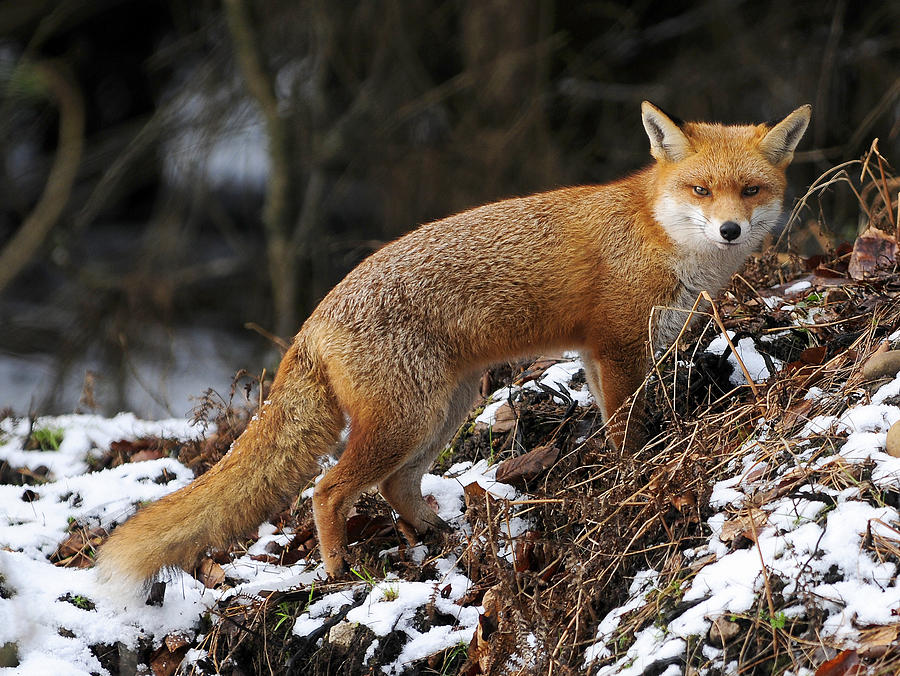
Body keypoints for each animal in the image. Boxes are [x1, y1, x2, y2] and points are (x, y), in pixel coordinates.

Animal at [95, 101, 812, 588]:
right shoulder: (616, 348)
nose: (729, 229)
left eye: (751, 191)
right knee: (328, 490)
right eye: (700, 190)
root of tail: (314, 320)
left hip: (444, 409)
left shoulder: (598, 352)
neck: (657, 235)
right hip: (407, 418)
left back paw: (440, 534)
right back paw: (339, 569)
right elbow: (627, 431)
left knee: (395, 487)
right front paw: (636, 478)